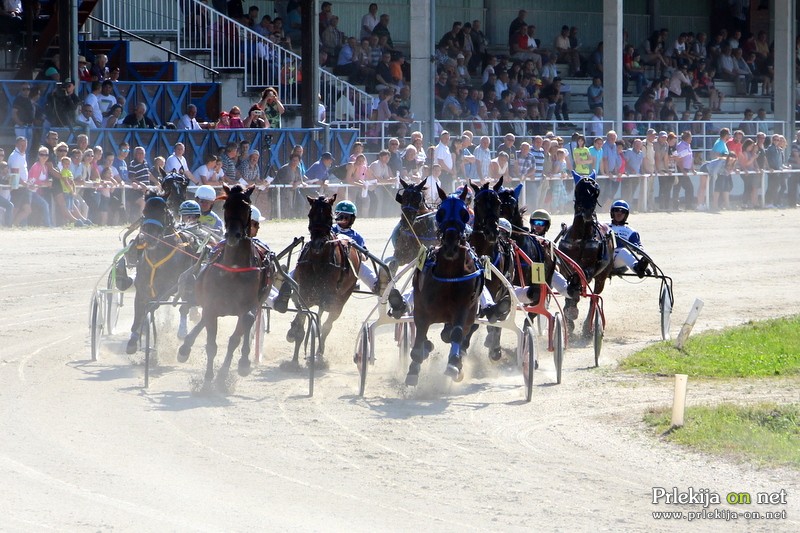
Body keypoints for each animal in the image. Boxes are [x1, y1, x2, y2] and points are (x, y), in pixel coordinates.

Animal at [177, 185, 274, 380]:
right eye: (225, 206)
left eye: (247, 206)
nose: (233, 235)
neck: (233, 269)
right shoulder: (211, 304)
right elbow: (211, 344)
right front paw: (208, 379)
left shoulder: (249, 306)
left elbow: (238, 334)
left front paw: (227, 373)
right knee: (203, 320)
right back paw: (185, 347)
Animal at [286, 194, 360, 366]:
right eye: (310, 215)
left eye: (329, 216)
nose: (317, 244)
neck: (318, 262)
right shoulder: (305, 294)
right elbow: (301, 321)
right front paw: (294, 360)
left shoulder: (328, 297)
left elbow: (321, 325)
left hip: (340, 299)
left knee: (327, 325)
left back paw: (319, 354)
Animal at [406, 185, 482, 384]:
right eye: (440, 213)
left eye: (464, 213)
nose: (450, 244)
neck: (449, 275)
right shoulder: (422, 307)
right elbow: (420, 332)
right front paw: (413, 368)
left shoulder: (463, 307)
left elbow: (457, 332)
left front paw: (454, 364)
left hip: (472, 313)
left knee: (460, 333)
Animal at [556, 175, 612, 336]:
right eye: (579, 191)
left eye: (595, 192)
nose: (587, 213)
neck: (580, 238)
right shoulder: (565, 265)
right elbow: (570, 282)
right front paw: (569, 315)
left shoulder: (592, 268)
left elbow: (580, 278)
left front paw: (572, 311)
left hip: (602, 276)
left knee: (595, 298)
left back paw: (588, 328)